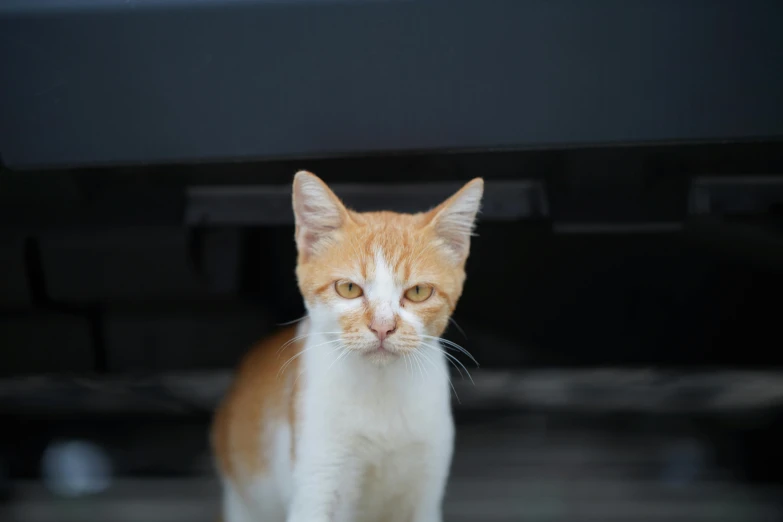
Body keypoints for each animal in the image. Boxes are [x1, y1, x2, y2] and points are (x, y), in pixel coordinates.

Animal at [214, 172, 484, 520]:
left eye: (418, 292)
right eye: (349, 288)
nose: (382, 325)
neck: (381, 392)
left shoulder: (426, 492)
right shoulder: (316, 481)